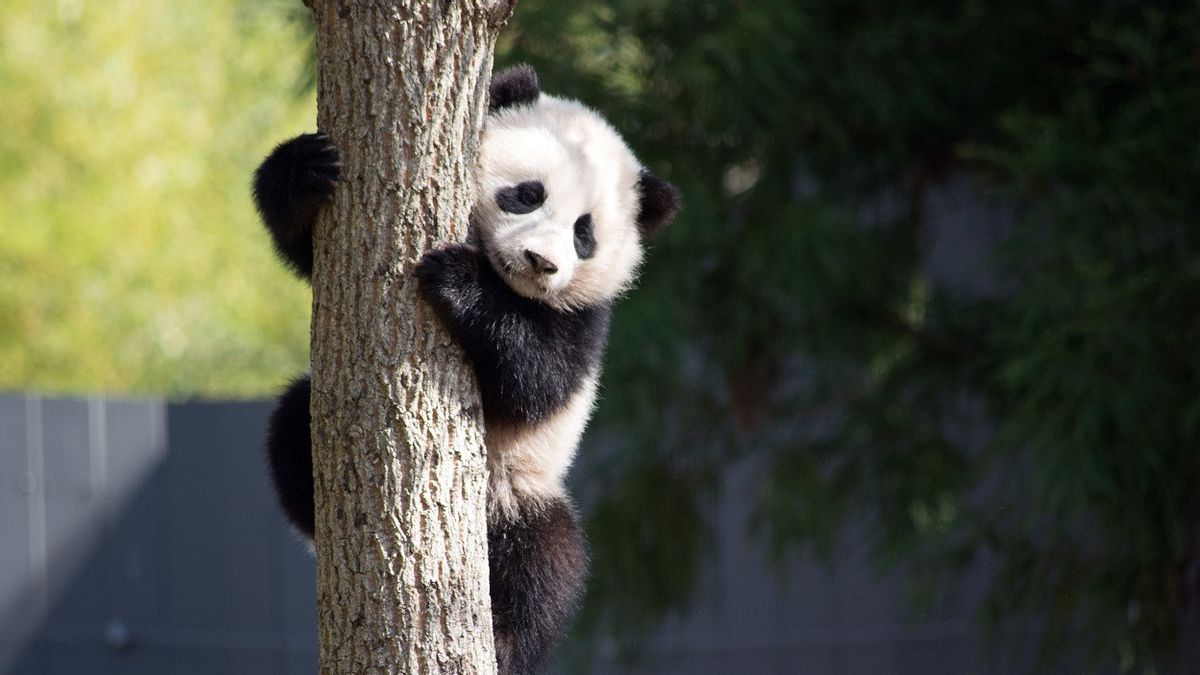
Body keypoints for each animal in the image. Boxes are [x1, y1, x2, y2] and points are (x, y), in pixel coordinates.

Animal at [253, 64, 681, 672]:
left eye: (584, 234)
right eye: (527, 194)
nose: (541, 262)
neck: (509, 281)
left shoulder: (584, 321)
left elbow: (537, 380)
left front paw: (459, 280)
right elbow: (306, 252)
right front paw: (307, 167)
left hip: (518, 488)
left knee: (547, 562)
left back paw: (504, 638)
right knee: (292, 421)